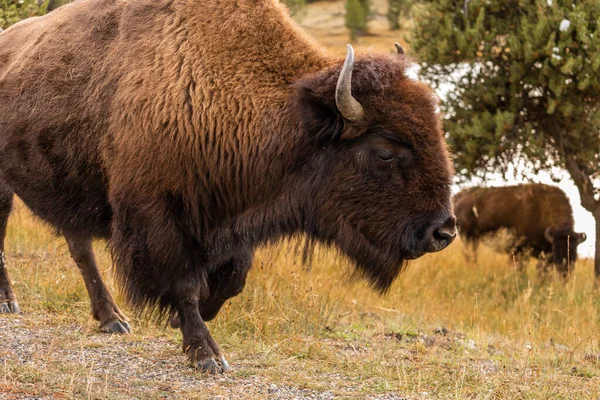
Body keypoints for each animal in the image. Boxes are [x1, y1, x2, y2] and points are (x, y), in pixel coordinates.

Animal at [0, 0, 458, 372]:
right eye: (385, 152)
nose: (444, 231)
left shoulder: (234, 221)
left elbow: (230, 281)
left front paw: (186, 319)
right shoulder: (162, 217)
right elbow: (185, 283)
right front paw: (207, 355)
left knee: (79, 248)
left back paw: (112, 319)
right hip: (5, 186)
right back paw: (10, 302)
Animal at [454, 184, 584, 272]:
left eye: (574, 256)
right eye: (557, 254)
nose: (565, 273)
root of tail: (458, 197)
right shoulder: (520, 251)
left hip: (473, 239)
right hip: (468, 237)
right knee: (470, 255)